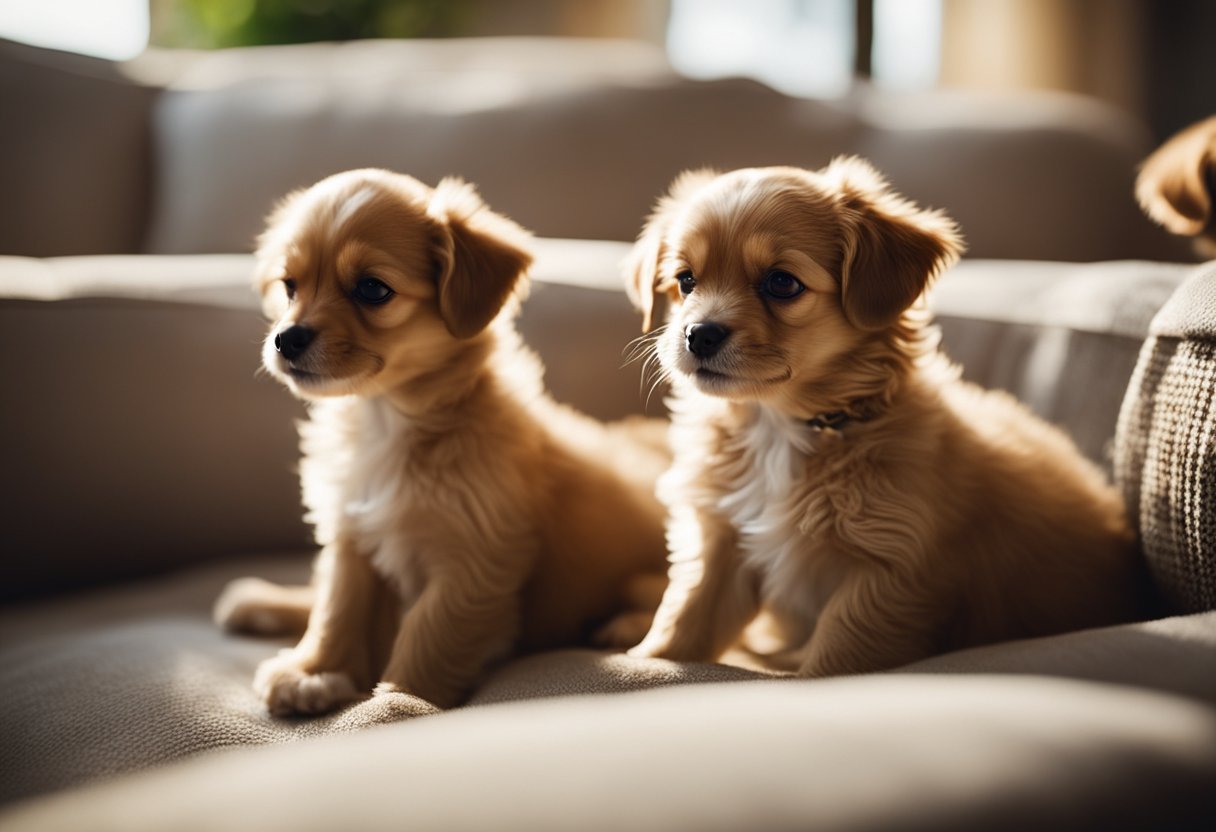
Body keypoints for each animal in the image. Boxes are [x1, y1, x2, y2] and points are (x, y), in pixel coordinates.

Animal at [215, 170, 666, 715]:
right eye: (289, 286)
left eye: (372, 288)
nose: (287, 338)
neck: (385, 419)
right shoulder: (351, 534)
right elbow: (337, 606)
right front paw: (315, 671)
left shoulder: (473, 558)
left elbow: (430, 633)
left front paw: (402, 701)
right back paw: (260, 600)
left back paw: (626, 625)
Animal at [627, 160, 1147, 676]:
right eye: (685, 280)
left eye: (782, 282)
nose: (699, 335)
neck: (780, 426)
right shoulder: (720, 537)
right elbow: (686, 615)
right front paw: (648, 657)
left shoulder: (889, 570)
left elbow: (834, 655)